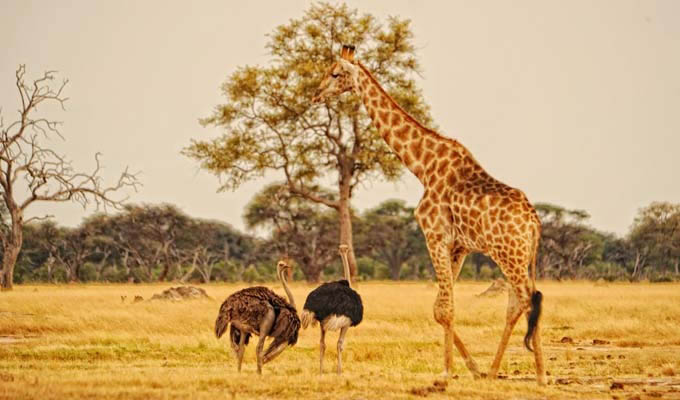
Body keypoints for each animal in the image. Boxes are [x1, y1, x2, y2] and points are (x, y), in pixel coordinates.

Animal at [314, 45, 548, 386]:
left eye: (334, 73)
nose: (316, 93)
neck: (422, 166)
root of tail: (534, 223)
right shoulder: (459, 245)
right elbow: (440, 306)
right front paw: (471, 368)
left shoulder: (434, 235)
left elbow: (444, 309)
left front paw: (446, 371)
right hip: (517, 257)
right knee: (518, 302)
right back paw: (493, 371)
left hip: (510, 255)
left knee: (530, 299)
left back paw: (541, 375)